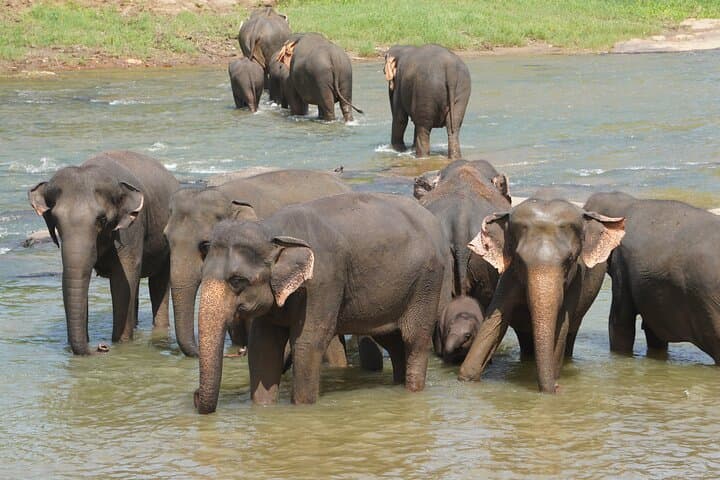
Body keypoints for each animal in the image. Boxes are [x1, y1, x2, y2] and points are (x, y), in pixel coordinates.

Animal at [27, 151, 179, 355]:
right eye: (56, 219)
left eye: (101, 219)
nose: (101, 347)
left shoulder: (131, 229)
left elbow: (122, 280)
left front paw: (122, 343)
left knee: (158, 282)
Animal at [194, 192, 451, 412]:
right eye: (202, 274)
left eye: (237, 280)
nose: (195, 395)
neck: (274, 231)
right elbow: (263, 346)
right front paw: (264, 407)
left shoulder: (323, 282)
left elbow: (308, 343)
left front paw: (301, 409)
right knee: (393, 341)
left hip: (427, 283)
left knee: (414, 340)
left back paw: (412, 389)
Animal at [457, 193, 626, 393]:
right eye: (519, 260)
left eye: (569, 260)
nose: (558, 387)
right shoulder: (509, 275)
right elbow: (495, 320)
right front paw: (467, 377)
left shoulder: (577, 278)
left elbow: (562, 324)